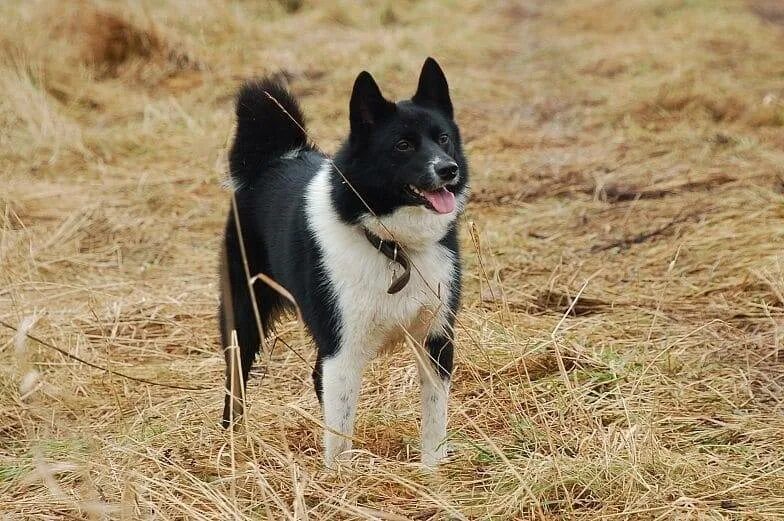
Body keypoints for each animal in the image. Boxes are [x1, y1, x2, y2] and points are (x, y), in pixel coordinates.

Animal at [217, 58, 468, 468]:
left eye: (443, 138)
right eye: (402, 145)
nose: (448, 169)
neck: (393, 248)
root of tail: (274, 158)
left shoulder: (436, 339)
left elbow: (435, 418)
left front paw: (432, 471)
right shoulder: (342, 350)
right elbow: (340, 432)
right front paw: (341, 480)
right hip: (243, 315)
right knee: (235, 379)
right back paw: (232, 438)